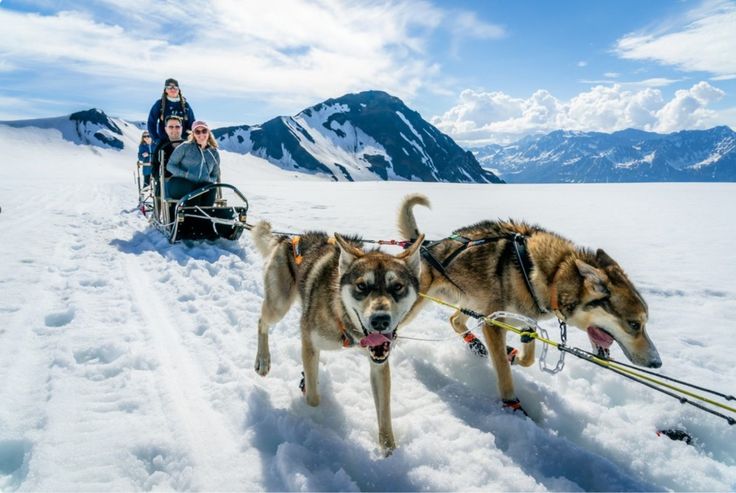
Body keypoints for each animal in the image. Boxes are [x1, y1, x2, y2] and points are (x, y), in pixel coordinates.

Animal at [253, 221, 426, 452]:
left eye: (397, 286)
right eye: (362, 286)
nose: (380, 320)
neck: (342, 316)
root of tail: (288, 239)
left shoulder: (379, 364)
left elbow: (385, 417)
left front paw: (390, 453)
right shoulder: (309, 339)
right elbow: (313, 398)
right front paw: (315, 416)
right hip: (278, 306)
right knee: (261, 322)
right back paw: (263, 360)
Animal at [396, 194, 660, 410]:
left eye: (644, 323)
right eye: (634, 324)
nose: (657, 362)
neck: (552, 275)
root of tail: (422, 247)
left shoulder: (525, 321)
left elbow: (529, 356)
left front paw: (514, 354)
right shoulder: (494, 324)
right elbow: (503, 371)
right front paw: (512, 405)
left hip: (471, 302)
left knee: (454, 319)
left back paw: (477, 345)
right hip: (417, 307)